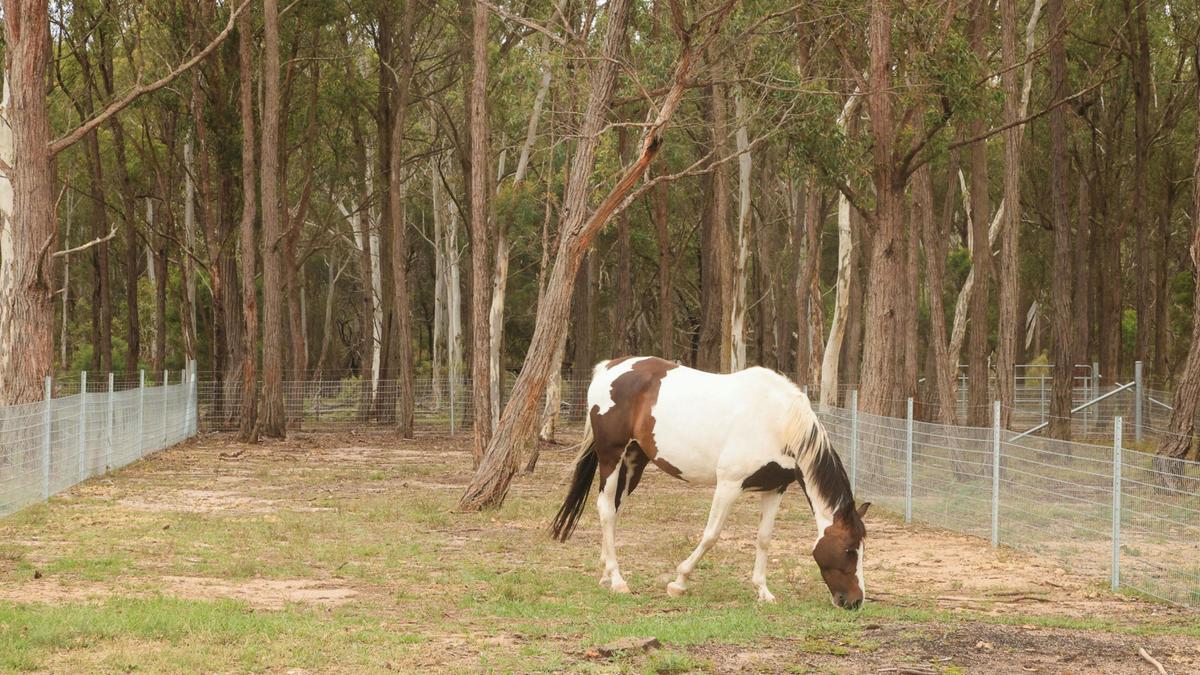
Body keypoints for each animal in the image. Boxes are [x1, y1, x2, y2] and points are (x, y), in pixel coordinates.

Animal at [550, 356, 870, 609]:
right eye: (849, 549)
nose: (855, 601)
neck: (778, 421)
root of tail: (608, 368)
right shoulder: (729, 484)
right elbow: (711, 535)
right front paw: (679, 582)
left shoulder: (774, 488)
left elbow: (764, 539)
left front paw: (763, 591)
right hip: (611, 456)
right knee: (605, 509)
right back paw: (618, 580)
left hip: (633, 461)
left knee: (614, 511)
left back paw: (606, 575)